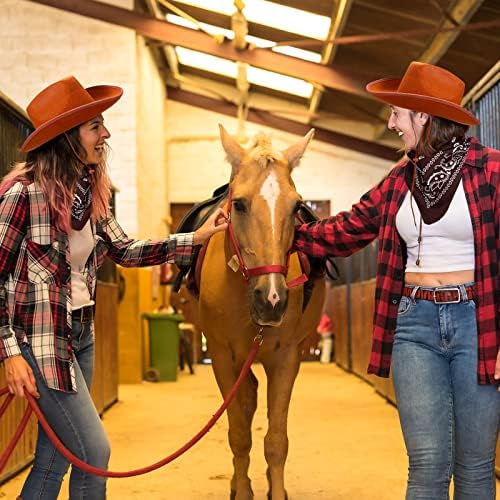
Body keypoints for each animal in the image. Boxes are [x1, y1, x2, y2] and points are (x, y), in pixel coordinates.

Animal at [197, 126, 322, 500]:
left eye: (297, 207)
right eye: (238, 204)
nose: (272, 299)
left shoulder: (286, 358)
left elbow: (276, 441)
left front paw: (274, 491)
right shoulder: (221, 357)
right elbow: (239, 433)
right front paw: (242, 490)